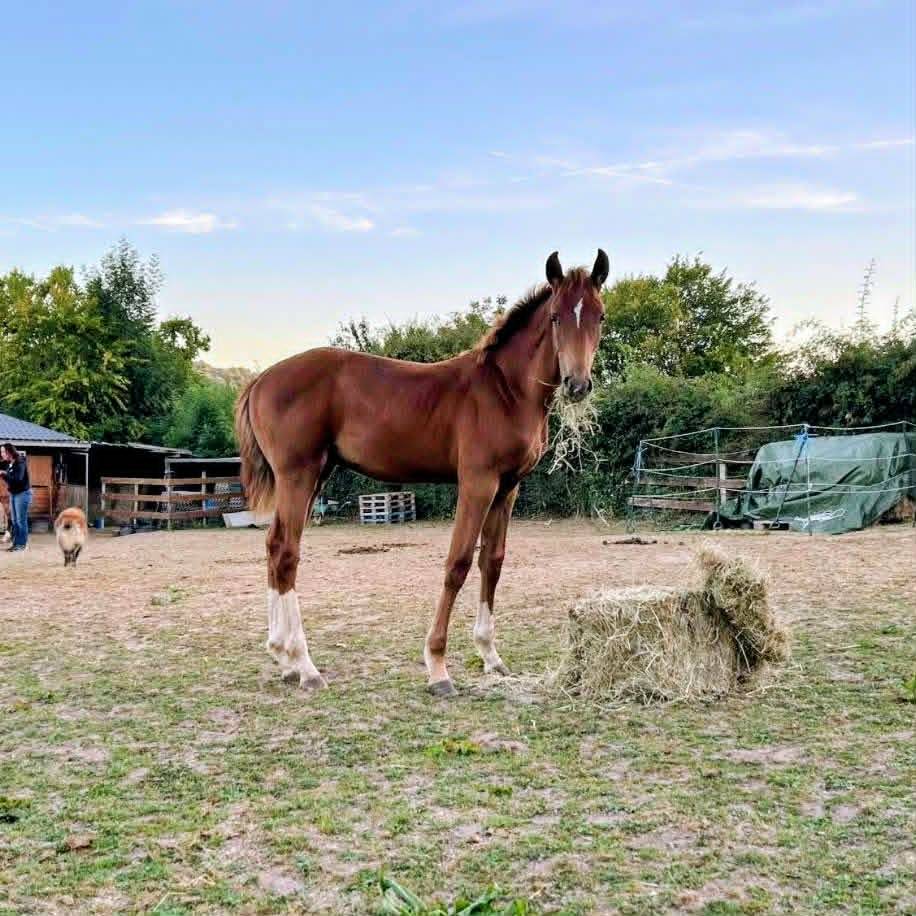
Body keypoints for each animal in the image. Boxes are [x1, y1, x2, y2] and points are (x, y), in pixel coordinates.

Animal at [235, 249, 608, 696]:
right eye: (555, 316)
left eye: (599, 316)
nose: (577, 384)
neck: (505, 390)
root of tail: (260, 380)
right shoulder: (477, 483)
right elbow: (458, 562)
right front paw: (437, 667)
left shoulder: (507, 489)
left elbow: (493, 562)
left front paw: (491, 656)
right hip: (298, 476)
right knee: (288, 553)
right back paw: (305, 666)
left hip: (314, 477)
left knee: (274, 546)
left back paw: (283, 657)